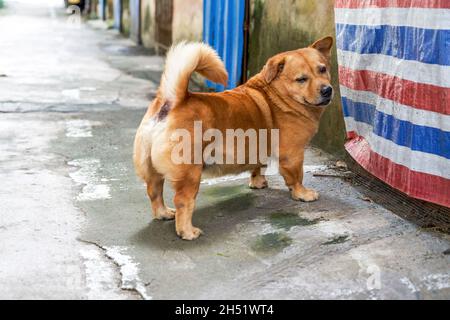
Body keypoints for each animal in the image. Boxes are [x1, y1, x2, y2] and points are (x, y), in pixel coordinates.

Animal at [134, 36, 334, 239]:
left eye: (322, 69)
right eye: (301, 79)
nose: (327, 90)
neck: (278, 95)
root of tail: (173, 101)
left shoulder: (259, 150)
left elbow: (258, 168)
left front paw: (258, 183)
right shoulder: (293, 155)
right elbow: (296, 178)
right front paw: (303, 194)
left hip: (151, 170)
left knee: (154, 192)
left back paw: (163, 213)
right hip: (189, 176)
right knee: (183, 202)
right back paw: (188, 231)